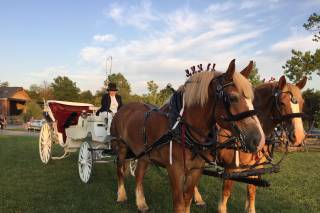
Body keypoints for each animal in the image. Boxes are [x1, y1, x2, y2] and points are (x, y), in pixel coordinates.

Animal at [110, 59, 264, 212]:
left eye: (251, 99)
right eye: (232, 98)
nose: (258, 140)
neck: (182, 127)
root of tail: (124, 108)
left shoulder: (196, 170)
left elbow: (187, 199)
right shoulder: (175, 170)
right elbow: (179, 203)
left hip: (144, 154)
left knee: (139, 174)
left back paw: (141, 203)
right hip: (121, 147)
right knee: (120, 170)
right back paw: (121, 195)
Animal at [192, 74, 308, 212]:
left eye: (302, 102)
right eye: (282, 102)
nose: (299, 136)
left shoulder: (255, 168)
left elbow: (251, 191)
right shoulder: (231, 168)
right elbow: (226, 192)